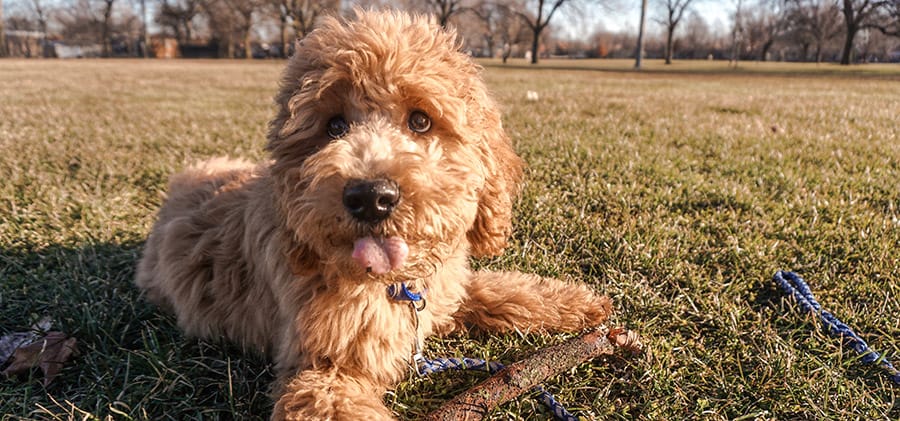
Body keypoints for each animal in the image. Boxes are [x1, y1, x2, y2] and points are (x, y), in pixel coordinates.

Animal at [134, 9, 612, 420]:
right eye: (333, 127)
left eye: (420, 121)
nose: (370, 197)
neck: (392, 285)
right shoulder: (325, 371)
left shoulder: (444, 290)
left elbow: (497, 290)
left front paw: (574, 302)